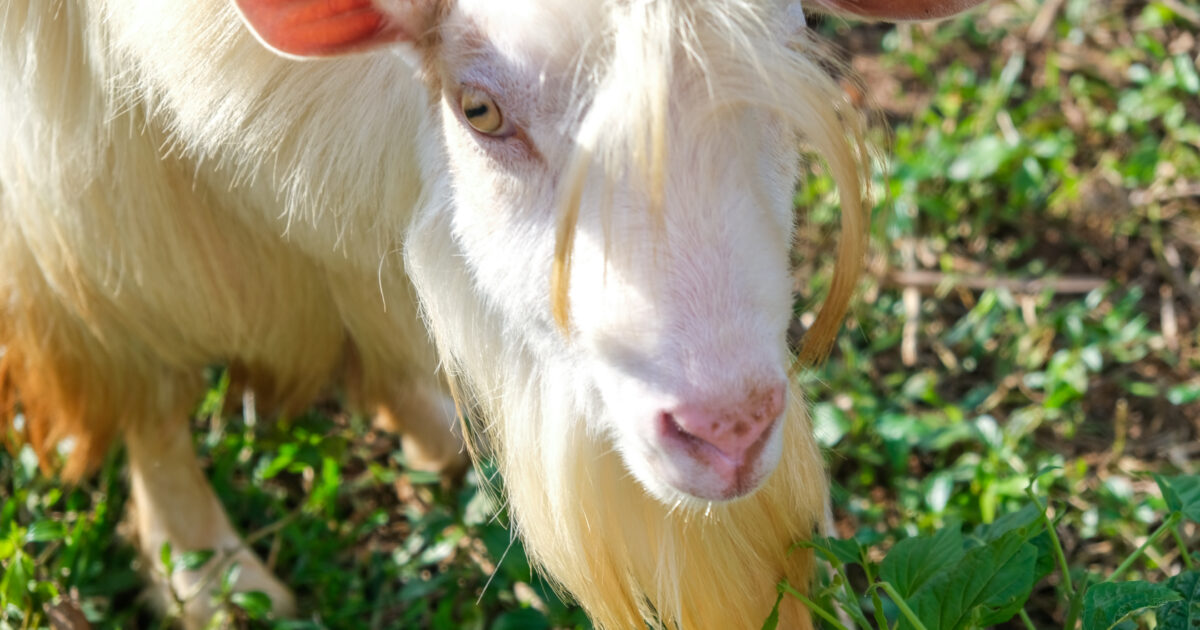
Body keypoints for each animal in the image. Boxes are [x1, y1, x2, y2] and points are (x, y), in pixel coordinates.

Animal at [2, 0, 984, 624]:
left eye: (801, 39)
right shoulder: (75, 144)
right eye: (478, 109)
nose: (728, 433)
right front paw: (206, 574)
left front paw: (419, 410)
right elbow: (133, 338)